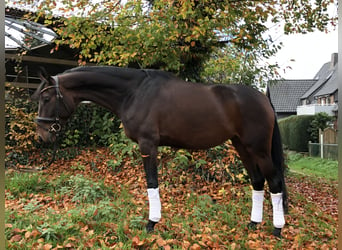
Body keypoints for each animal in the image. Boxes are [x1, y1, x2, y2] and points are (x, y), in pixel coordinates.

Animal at [31, 66, 288, 236]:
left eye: (46, 97)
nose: (42, 134)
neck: (134, 92)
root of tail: (263, 98)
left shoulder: (147, 145)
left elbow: (151, 183)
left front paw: (151, 223)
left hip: (259, 150)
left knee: (274, 182)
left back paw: (277, 229)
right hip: (241, 146)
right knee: (257, 181)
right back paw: (253, 224)